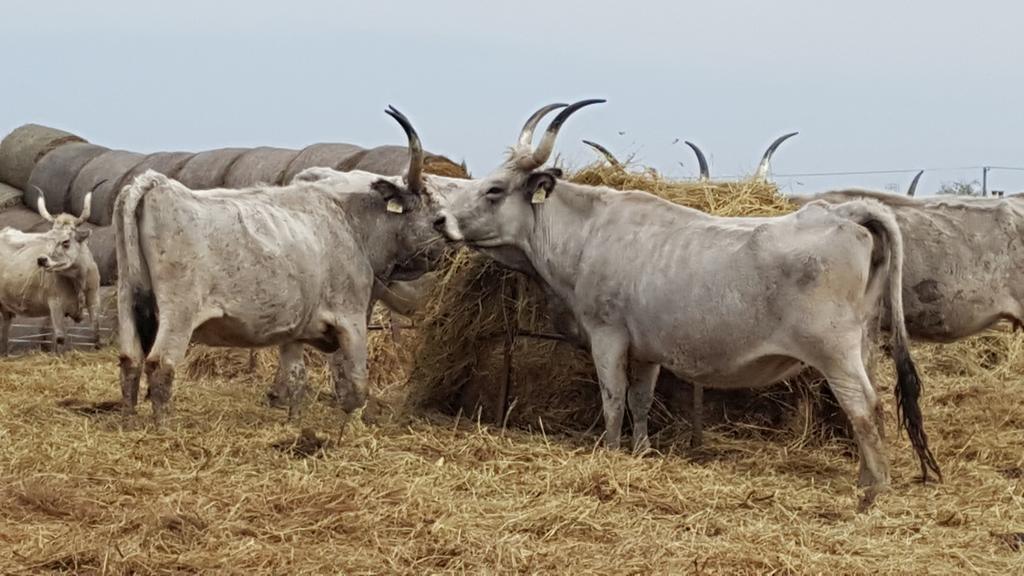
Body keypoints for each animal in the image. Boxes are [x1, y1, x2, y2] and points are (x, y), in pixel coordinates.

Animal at [432, 100, 942, 504]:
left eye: (494, 190)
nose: (439, 220)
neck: (589, 233)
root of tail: (846, 212)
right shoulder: (647, 348)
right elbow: (639, 400)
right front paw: (640, 451)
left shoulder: (607, 335)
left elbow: (612, 398)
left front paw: (611, 453)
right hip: (864, 342)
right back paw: (864, 476)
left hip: (834, 350)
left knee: (865, 407)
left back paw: (873, 489)